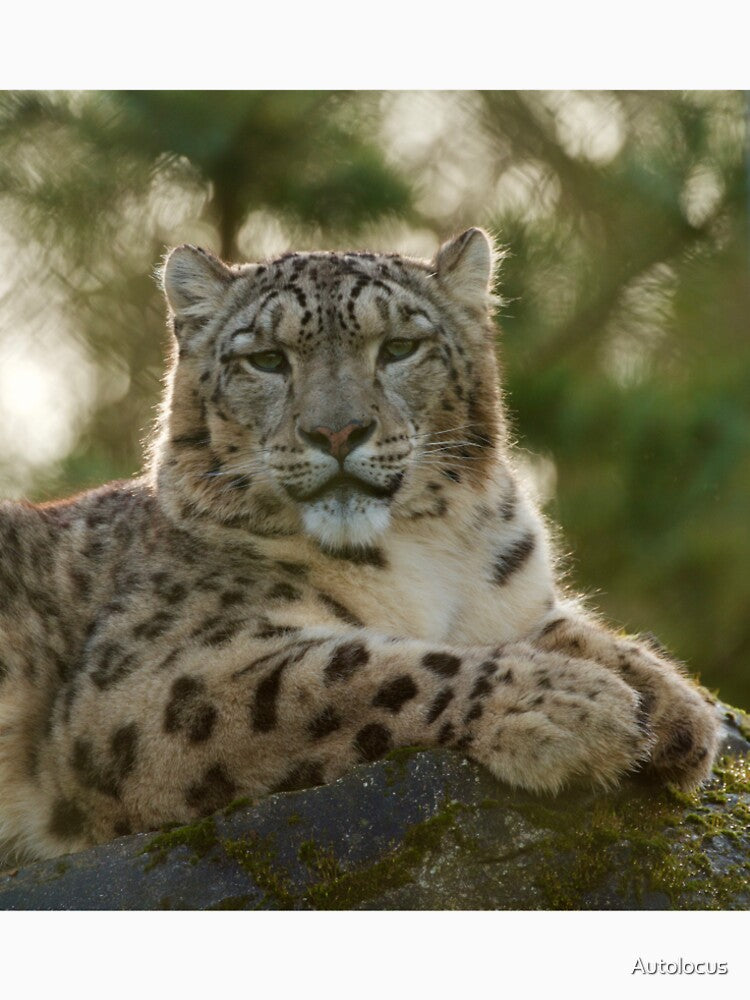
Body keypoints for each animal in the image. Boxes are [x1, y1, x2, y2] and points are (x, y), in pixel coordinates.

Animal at [0, 227, 719, 864]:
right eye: (266, 358)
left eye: (399, 347)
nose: (338, 431)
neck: (423, 551)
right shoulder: (154, 682)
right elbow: (365, 672)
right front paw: (568, 706)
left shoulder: (509, 602)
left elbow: (559, 627)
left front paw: (673, 706)